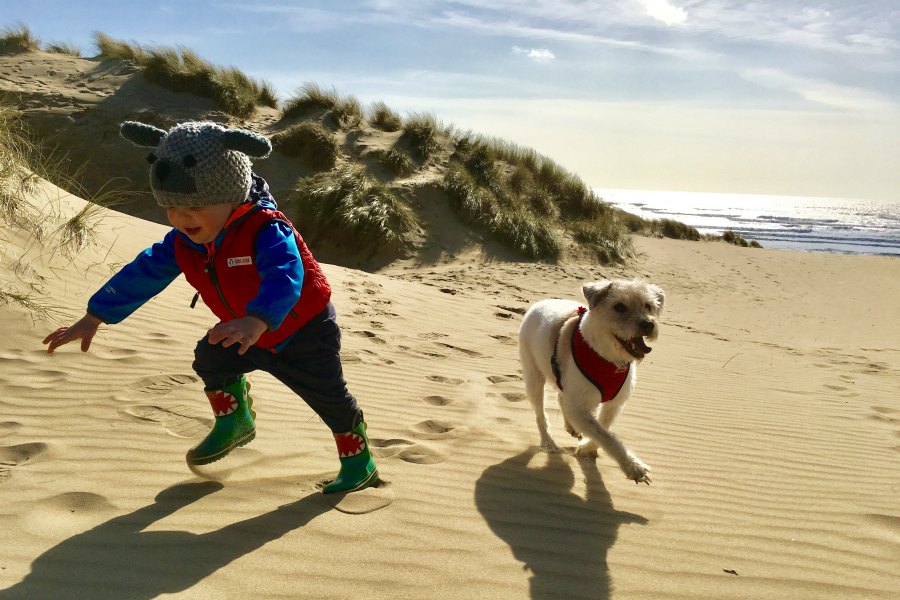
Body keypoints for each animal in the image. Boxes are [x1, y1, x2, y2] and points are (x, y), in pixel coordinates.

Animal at [520, 280, 660, 482]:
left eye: (648, 306)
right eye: (619, 307)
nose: (648, 324)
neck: (609, 359)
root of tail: (540, 303)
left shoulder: (613, 405)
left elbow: (603, 429)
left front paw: (587, 448)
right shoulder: (580, 408)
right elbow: (606, 436)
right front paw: (634, 467)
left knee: (562, 398)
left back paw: (570, 427)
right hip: (534, 375)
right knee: (540, 412)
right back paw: (548, 441)